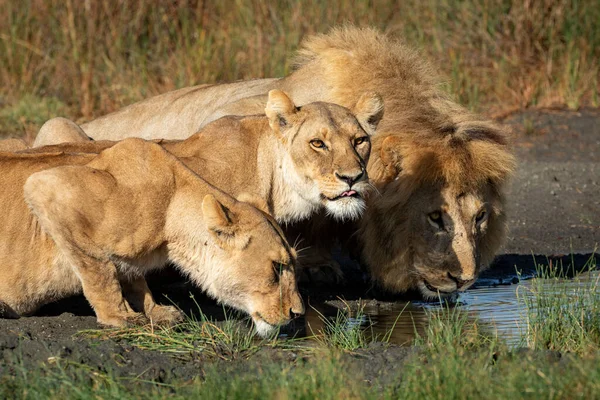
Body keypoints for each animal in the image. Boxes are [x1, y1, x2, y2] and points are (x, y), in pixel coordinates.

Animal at [0, 139, 302, 336]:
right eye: (276, 268)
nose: (297, 314)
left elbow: (133, 278)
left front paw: (155, 310)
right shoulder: (48, 188)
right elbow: (100, 272)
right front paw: (119, 316)